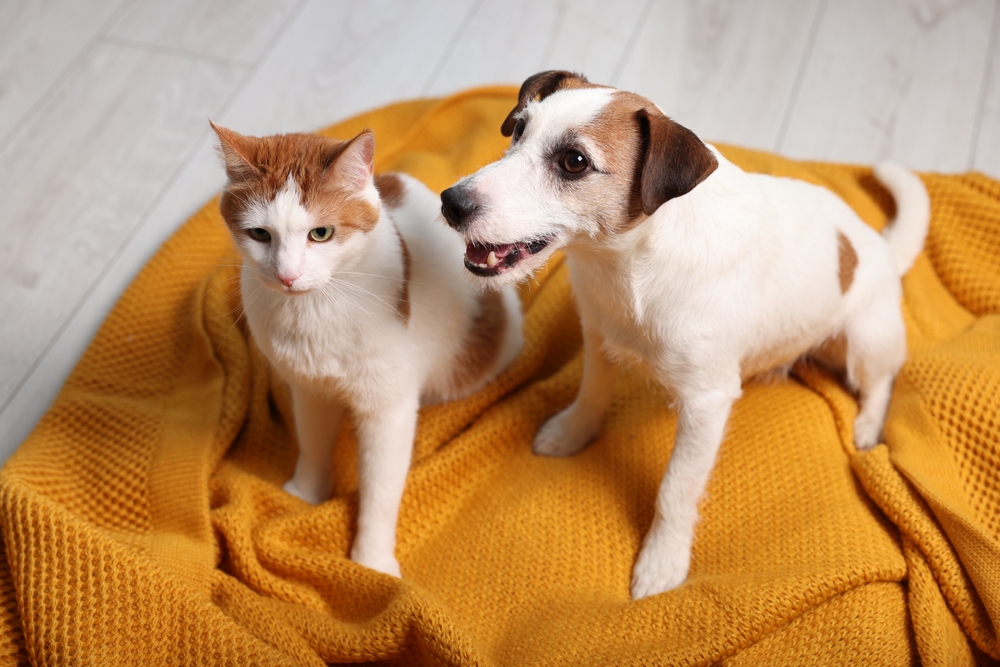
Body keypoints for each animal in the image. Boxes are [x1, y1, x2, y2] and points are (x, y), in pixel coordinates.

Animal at [211, 125, 524, 580]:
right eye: (260, 234)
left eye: (321, 233)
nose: (287, 276)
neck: (317, 307)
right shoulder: (309, 389)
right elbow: (313, 442)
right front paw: (306, 493)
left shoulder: (388, 410)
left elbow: (380, 489)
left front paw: (371, 562)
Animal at [440, 72, 928, 600]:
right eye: (518, 130)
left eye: (574, 161)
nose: (451, 202)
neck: (632, 266)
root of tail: (880, 247)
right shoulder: (599, 338)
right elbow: (591, 394)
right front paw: (572, 433)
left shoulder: (706, 403)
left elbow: (675, 489)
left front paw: (662, 561)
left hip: (865, 341)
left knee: (880, 381)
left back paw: (868, 425)